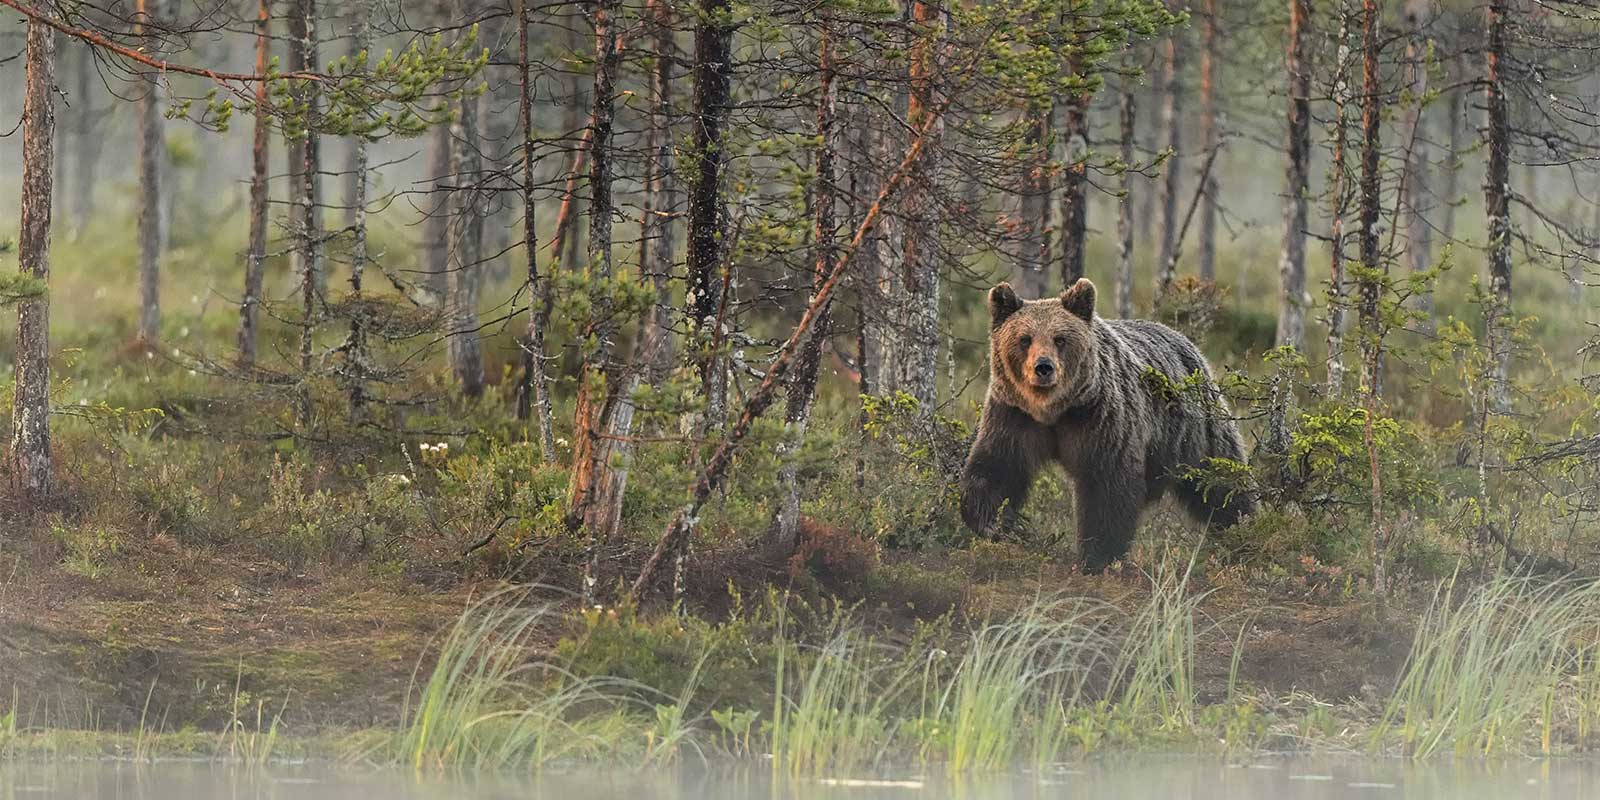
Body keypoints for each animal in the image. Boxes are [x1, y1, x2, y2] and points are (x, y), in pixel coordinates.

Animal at [957, 278, 1254, 573]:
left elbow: (1106, 485)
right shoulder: (1015, 415)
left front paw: (1097, 554)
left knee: (1222, 483)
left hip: (1197, 431)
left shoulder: (1100, 418)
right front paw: (990, 523)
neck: (1054, 411)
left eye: (1060, 339)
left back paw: (1242, 531)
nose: (1043, 367)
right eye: (1024, 339)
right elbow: (999, 467)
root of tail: (1184, 339)